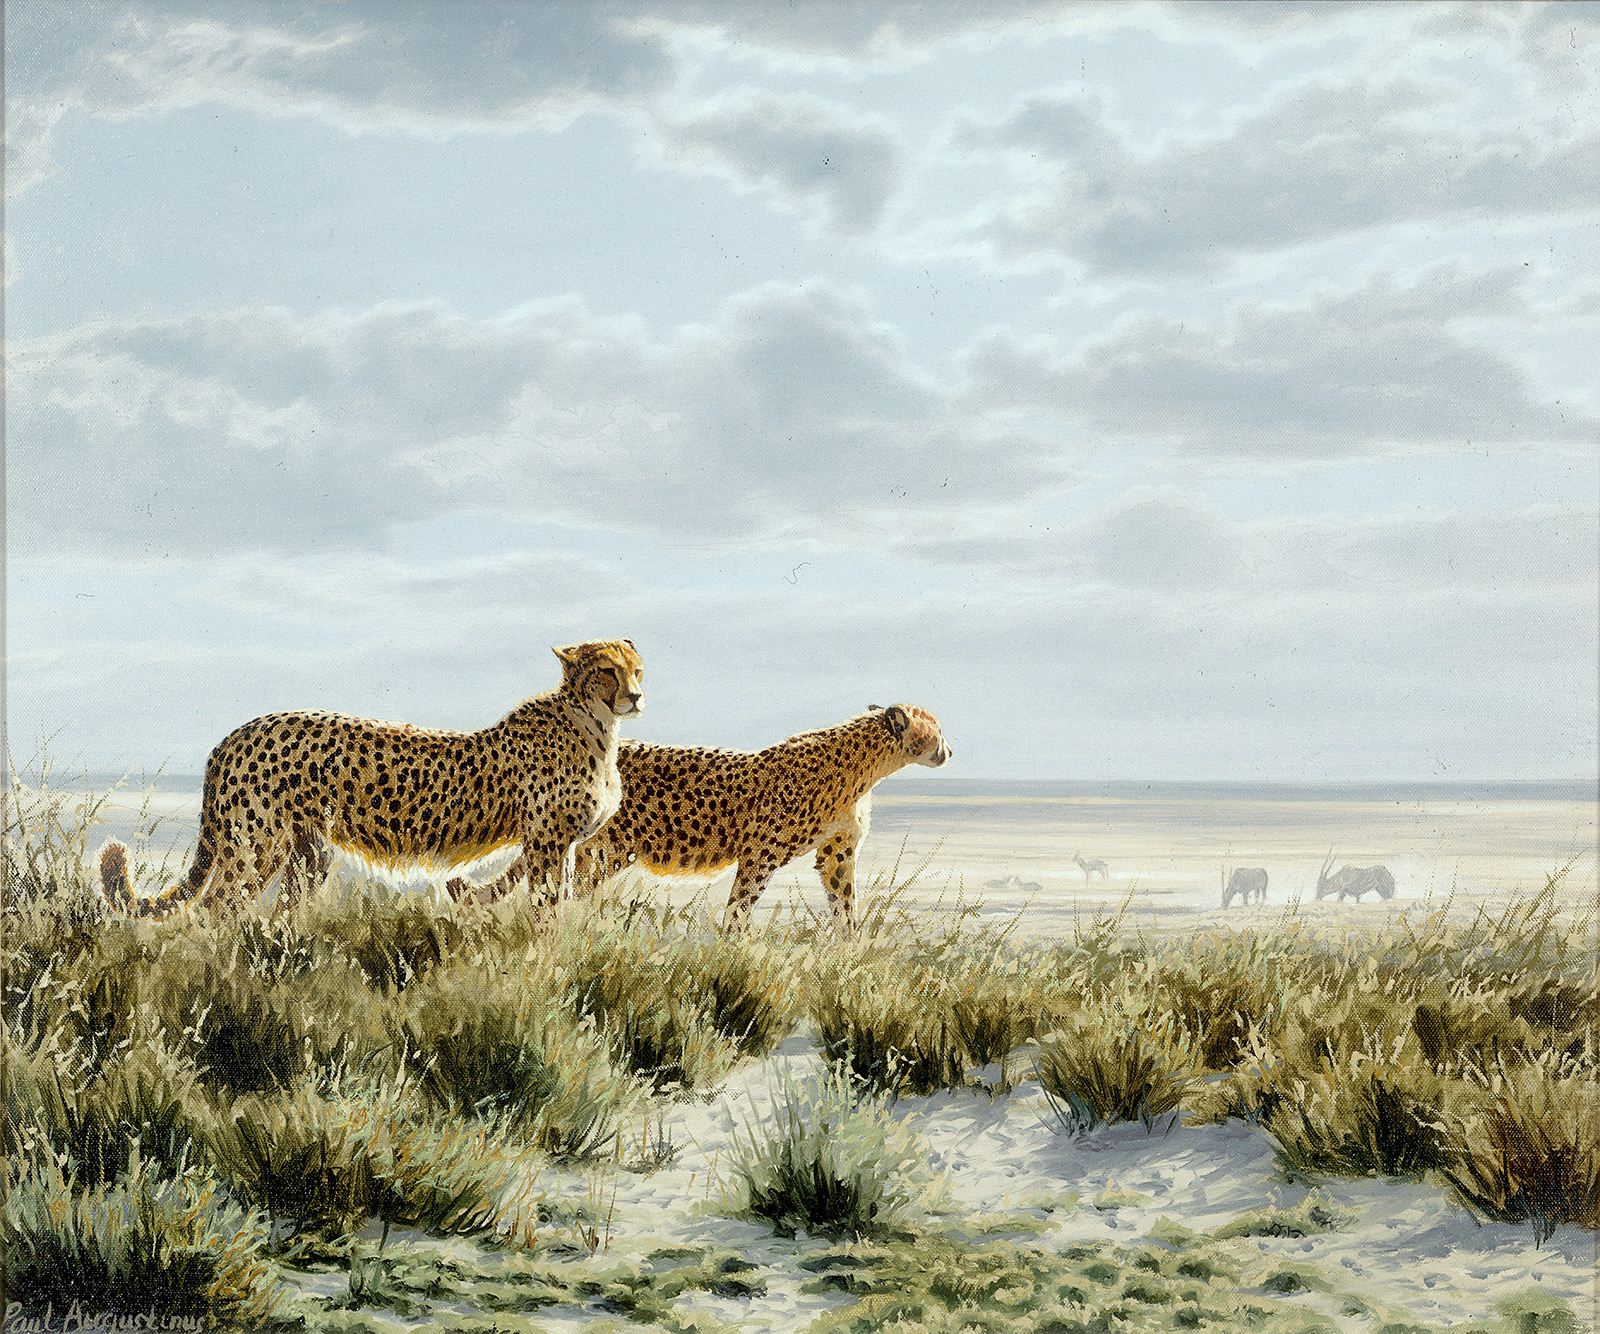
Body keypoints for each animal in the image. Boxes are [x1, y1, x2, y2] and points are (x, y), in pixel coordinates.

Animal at [98, 639, 643, 920]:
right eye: (607, 671)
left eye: (636, 669)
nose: (636, 697)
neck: (596, 724)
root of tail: (237, 733)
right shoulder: (546, 841)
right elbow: (546, 909)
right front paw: (546, 959)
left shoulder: (561, 843)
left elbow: (560, 899)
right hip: (257, 845)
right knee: (216, 905)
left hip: (306, 853)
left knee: (278, 908)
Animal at [447, 703, 950, 932]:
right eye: (936, 731)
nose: (949, 750)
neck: (867, 768)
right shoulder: (760, 855)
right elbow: (739, 909)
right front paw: (731, 955)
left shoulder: (836, 855)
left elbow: (846, 908)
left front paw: (849, 949)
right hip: (595, 851)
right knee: (549, 896)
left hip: (599, 856)